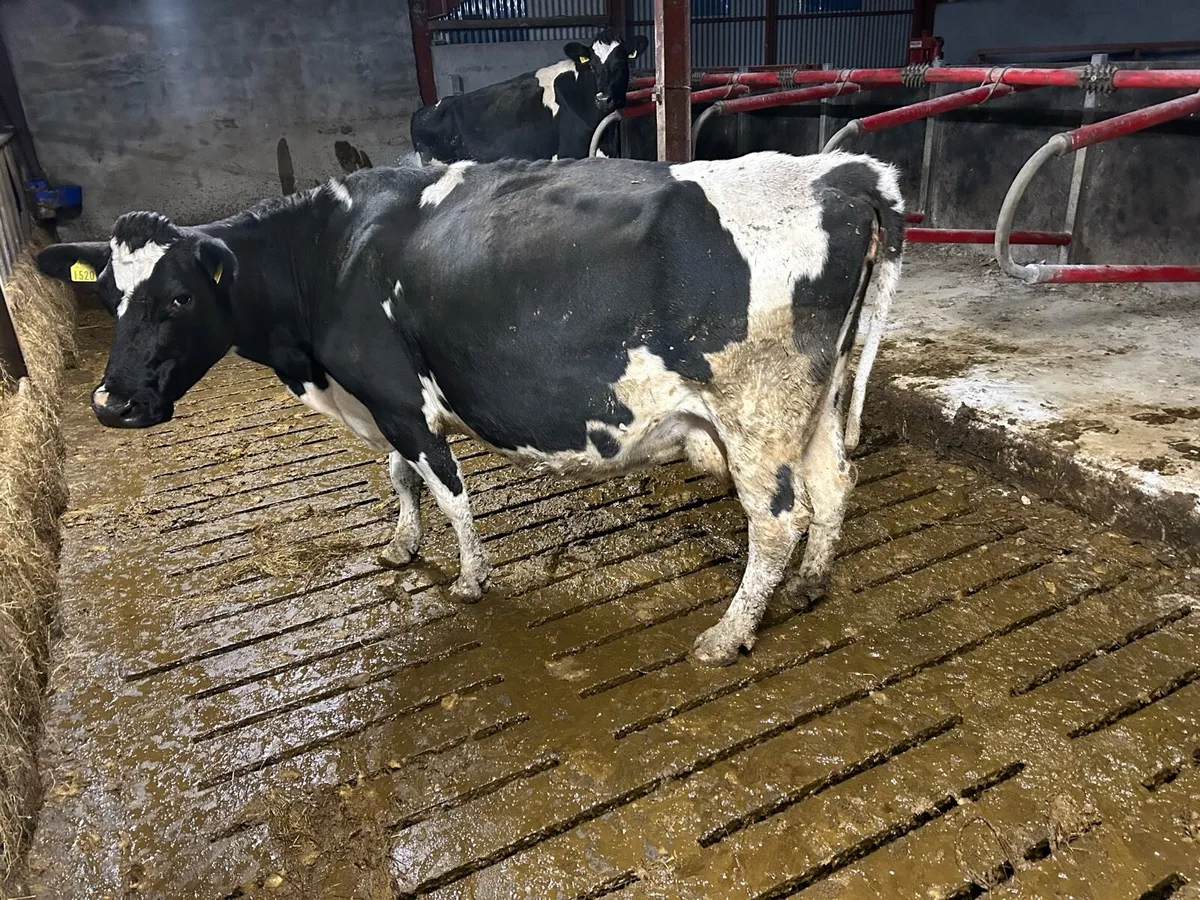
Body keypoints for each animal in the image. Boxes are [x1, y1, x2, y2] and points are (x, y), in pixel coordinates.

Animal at [36, 151, 904, 667]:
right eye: (109, 295)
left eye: (179, 298)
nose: (112, 403)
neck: (329, 257)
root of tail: (840, 171)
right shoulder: (383, 402)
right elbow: (400, 478)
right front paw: (400, 545)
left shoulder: (398, 397)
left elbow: (447, 489)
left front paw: (469, 579)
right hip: (816, 400)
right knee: (836, 484)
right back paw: (810, 585)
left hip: (756, 413)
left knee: (778, 520)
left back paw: (728, 635)